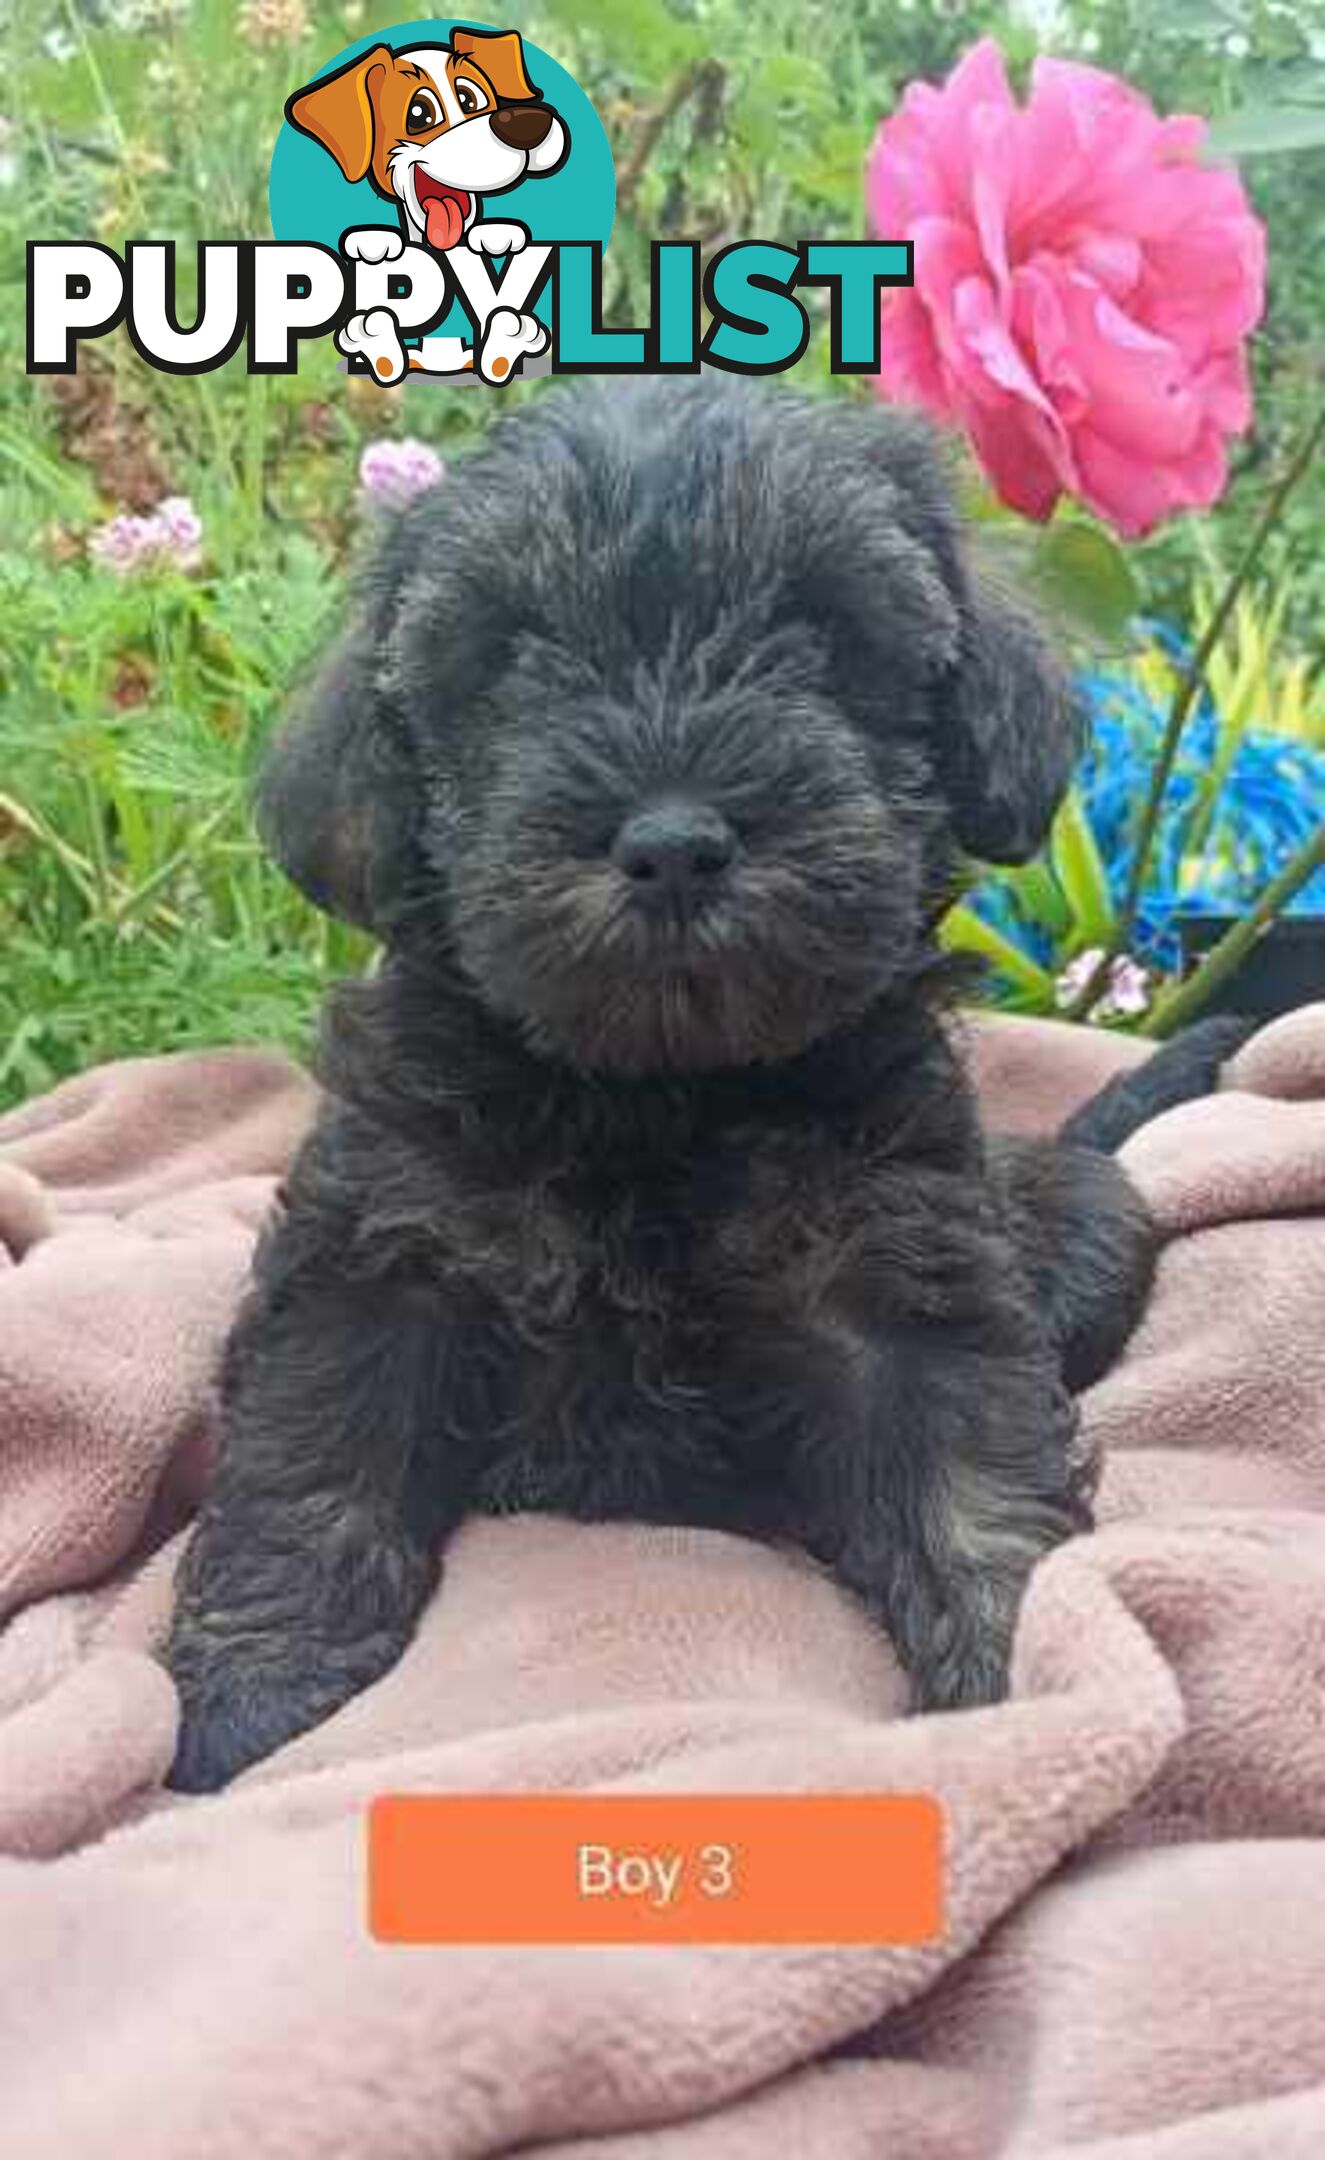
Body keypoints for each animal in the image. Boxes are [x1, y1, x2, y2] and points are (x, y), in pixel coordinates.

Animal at [167, 384, 1227, 1788]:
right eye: (512, 657)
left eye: (822, 634)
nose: (672, 843)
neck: (656, 1094)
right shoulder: (381, 1249)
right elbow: (313, 1460)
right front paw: (252, 1694)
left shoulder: (896, 1278)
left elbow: (970, 1480)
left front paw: (1032, 1678)